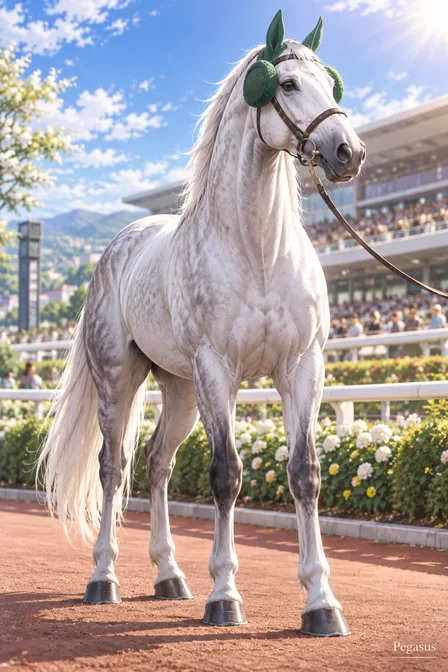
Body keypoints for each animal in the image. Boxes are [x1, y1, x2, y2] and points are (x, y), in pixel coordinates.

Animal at [38, 11, 365, 636]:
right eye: (288, 84)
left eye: (332, 86)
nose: (348, 151)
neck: (257, 251)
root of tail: (119, 245)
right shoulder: (219, 370)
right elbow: (226, 475)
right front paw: (225, 594)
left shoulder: (302, 366)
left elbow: (305, 473)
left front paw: (321, 603)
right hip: (120, 380)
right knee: (113, 468)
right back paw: (104, 577)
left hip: (182, 390)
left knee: (157, 463)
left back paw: (169, 575)